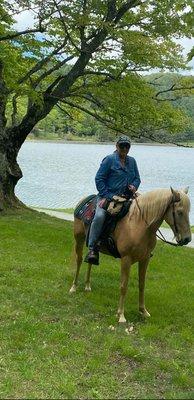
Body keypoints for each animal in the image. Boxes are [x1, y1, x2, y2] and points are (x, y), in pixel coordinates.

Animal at [69, 186, 191, 324]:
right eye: (180, 212)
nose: (187, 239)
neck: (138, 225)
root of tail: (83, 201)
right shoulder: (126, 259)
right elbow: (123, 286)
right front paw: (121, 315)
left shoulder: (145, 259)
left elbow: (142, 285)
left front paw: (143, 311)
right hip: (79, 239)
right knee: (79, 260)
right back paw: (74, 287)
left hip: (93, 245)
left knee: (90, 261)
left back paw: (87, 286)